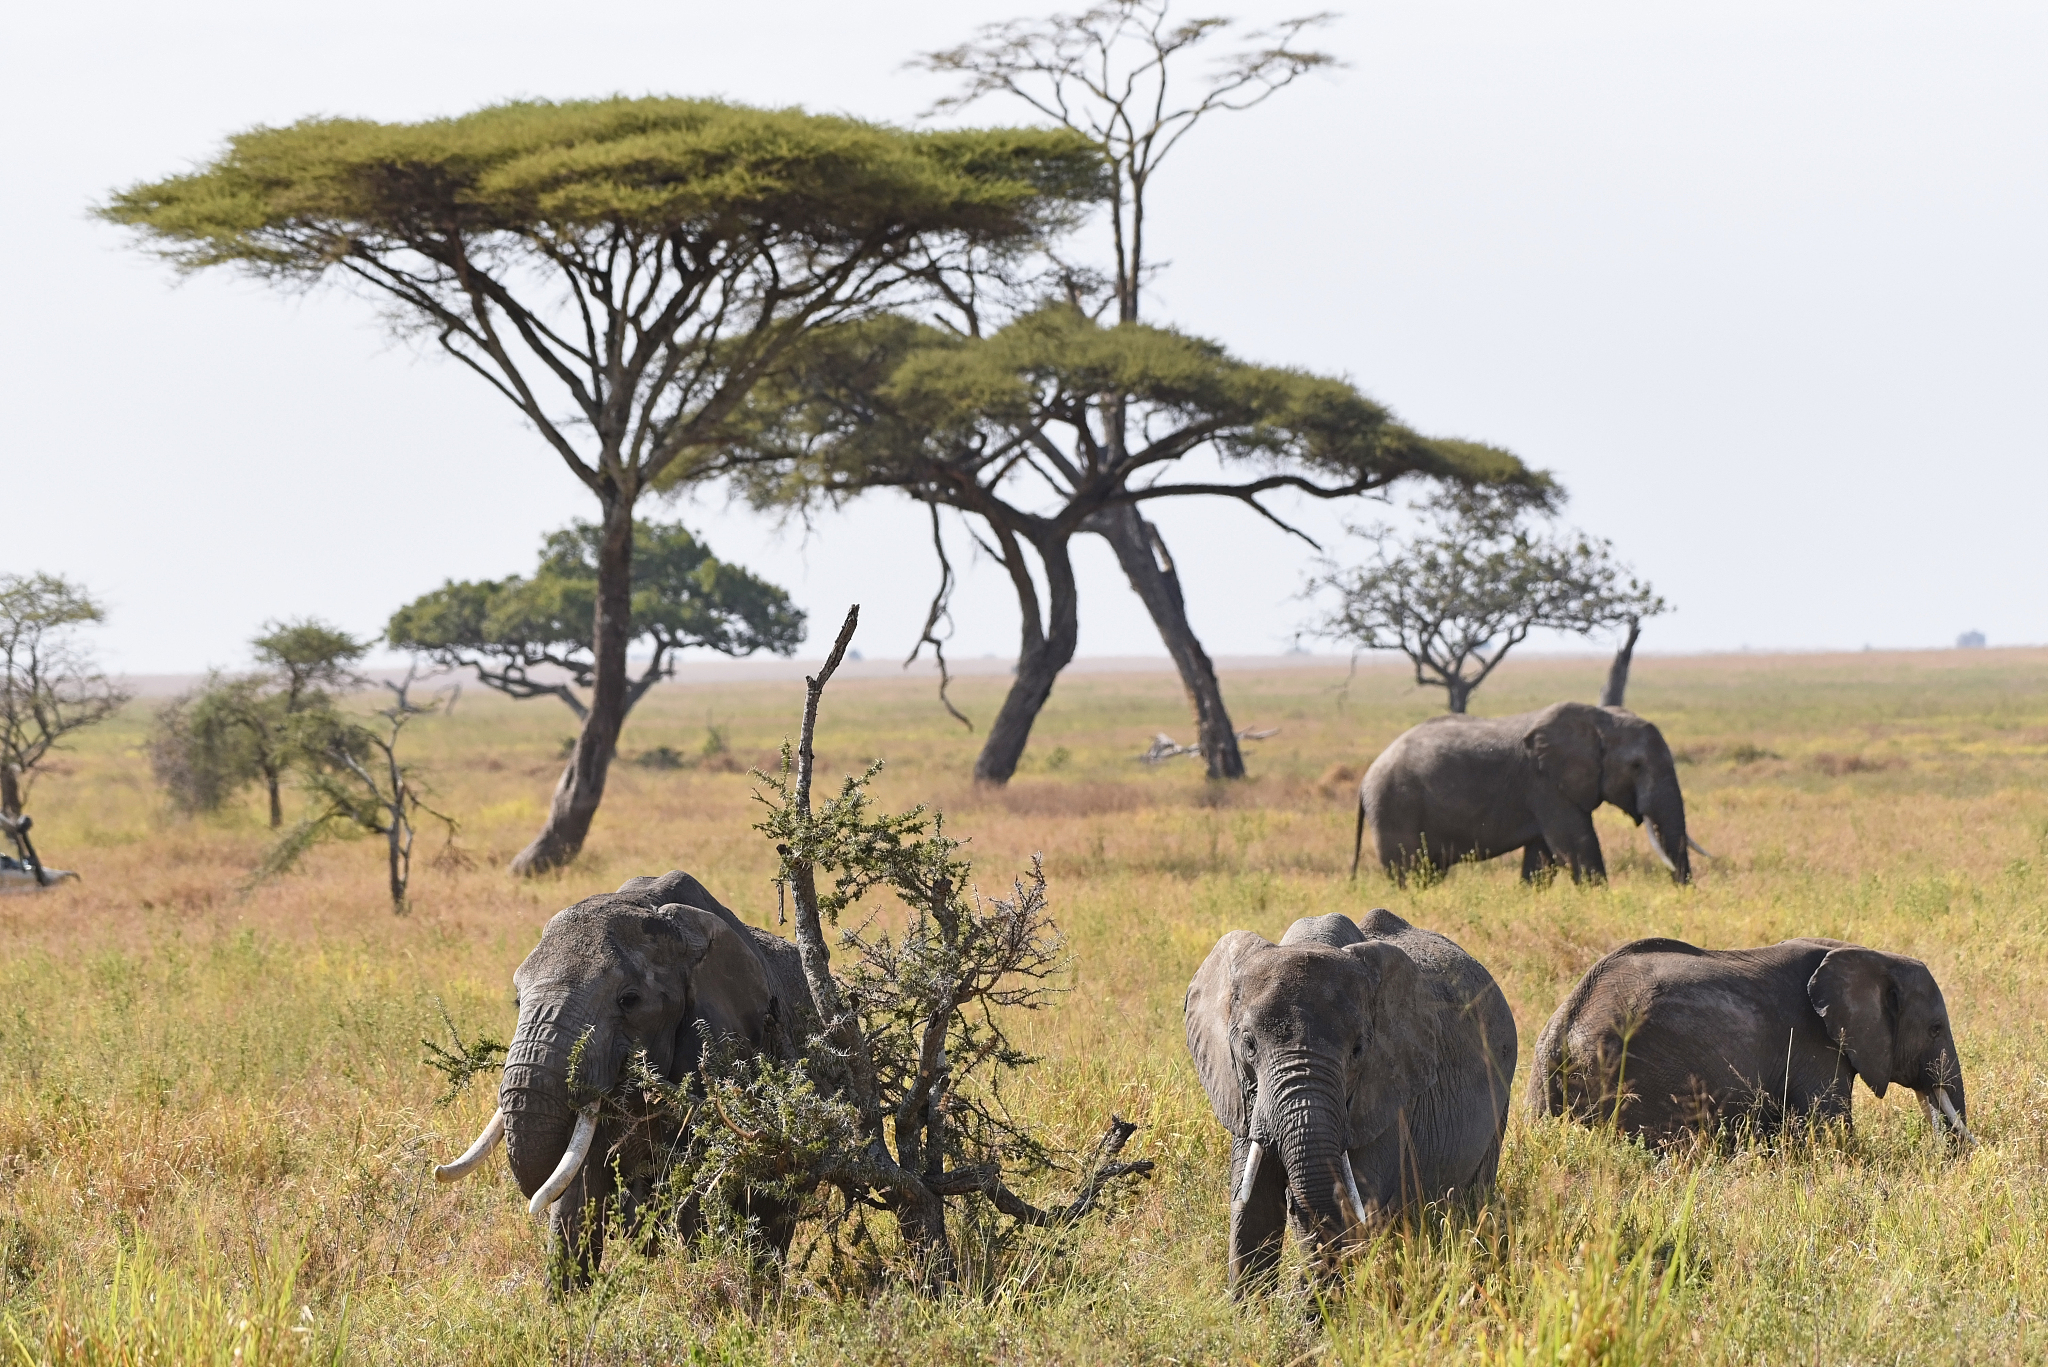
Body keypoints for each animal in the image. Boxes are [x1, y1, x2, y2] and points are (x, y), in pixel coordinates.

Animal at [1184, 909, 1517, 1297]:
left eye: (1358, 1050)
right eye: (1248, 1045)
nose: (1302, 1289)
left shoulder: (1387, 1094)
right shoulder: (1242, 1093)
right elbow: (1254, 1206)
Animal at [1353, 702, 1696, 886]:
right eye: (1636, 766)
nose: (1682, 890)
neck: (1601, 719)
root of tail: (1365, 778)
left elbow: (1543, 858)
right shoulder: (1545, 783)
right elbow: (1576, 845)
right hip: (1395, 805)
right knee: (1408, 869)